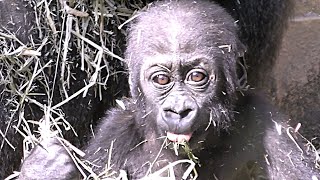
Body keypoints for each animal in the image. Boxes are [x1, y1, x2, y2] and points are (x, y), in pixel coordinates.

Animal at [18, 0, 318, 179]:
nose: (178, 110)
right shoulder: (111, 138)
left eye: (197, 76)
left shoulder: (265, 121)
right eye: (162, 80)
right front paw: (45, 168)